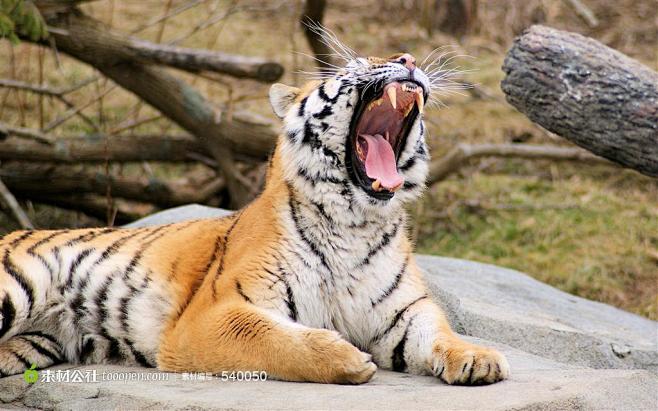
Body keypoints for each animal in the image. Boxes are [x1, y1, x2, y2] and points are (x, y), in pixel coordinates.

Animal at [0, 35, 508, 386]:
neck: (355, 221)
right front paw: (346, 357)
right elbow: (271, 338)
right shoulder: (212, 314)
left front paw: (478, 357)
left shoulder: (403, 312)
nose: (408, 60)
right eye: (355, 64)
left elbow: (438, 332)